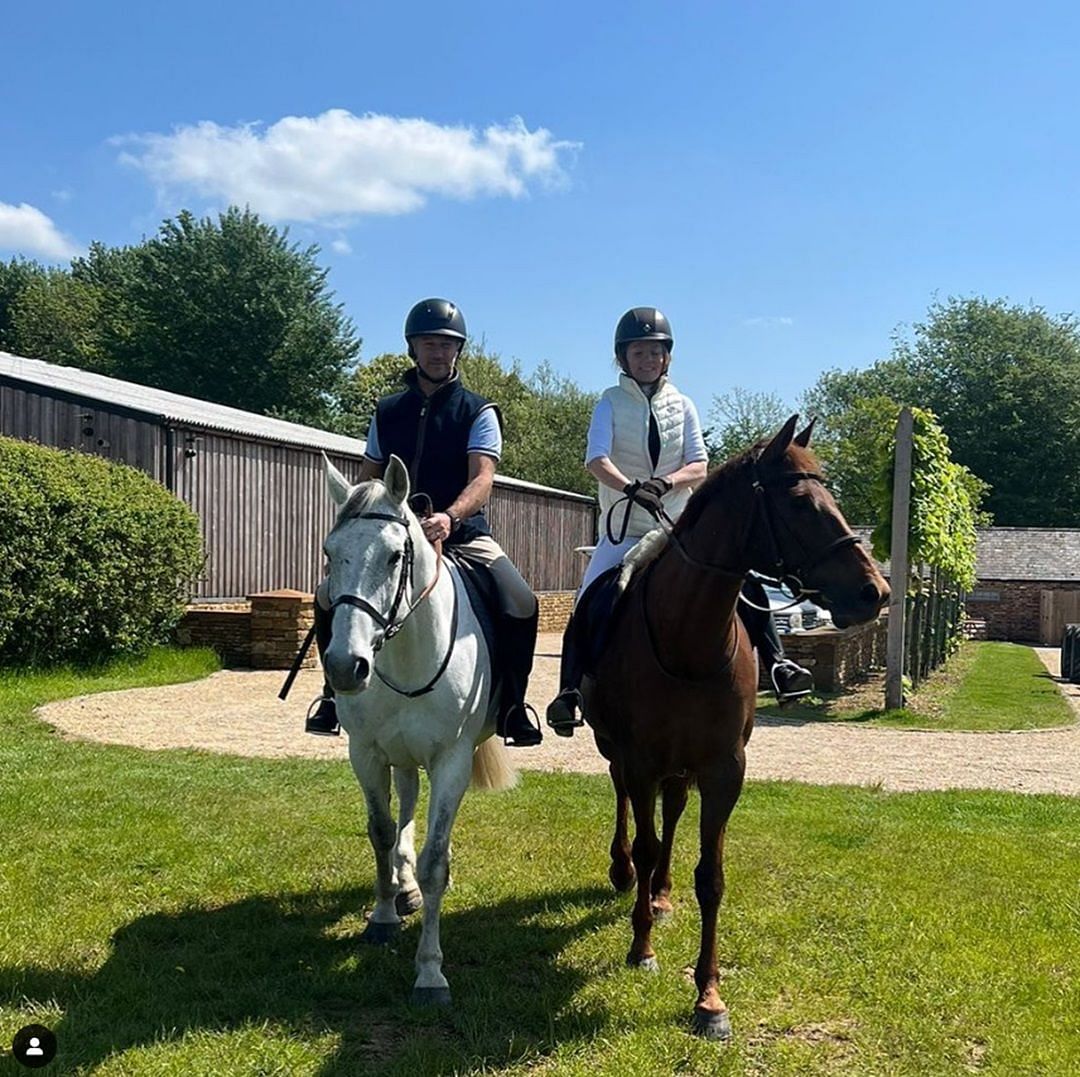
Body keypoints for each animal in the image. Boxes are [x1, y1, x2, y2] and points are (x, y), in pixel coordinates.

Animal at [317, 449, 516, 1002]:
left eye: (392, 557)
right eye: (330, 553)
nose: (345, 667)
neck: (406, 652)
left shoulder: (451, 761)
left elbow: (435, 860)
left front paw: (430, 972)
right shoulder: (366, 753)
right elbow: (383, 832)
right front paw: (383, 915)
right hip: (399, 755)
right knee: (405, 803)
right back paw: (401, 889)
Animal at [583, 416, 885, 1037]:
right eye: (800, 504)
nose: (875, 592)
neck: (687, 636)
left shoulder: (724, 769)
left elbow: (712, 875)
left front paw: (709, 998)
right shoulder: (641, 758)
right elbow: (646, 842)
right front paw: (641, 948)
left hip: (682, 767)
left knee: (674, 813)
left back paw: (661, 895)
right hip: (619, 750)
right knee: (624, 800)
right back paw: (626, 875)